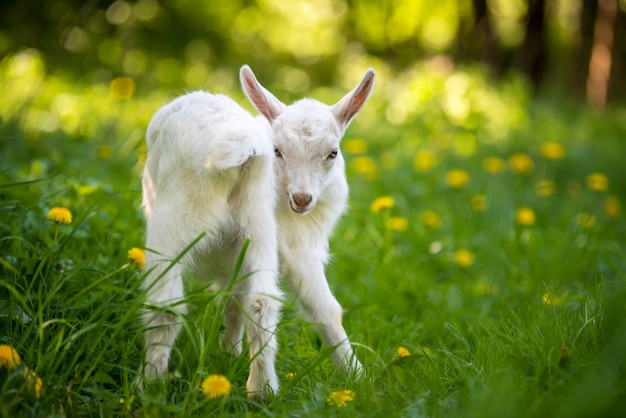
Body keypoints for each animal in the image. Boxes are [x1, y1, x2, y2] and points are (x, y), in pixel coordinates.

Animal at [140, 64, 376, 398]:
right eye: (278, 150)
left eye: (333, 152)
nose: (302, 199)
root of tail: (240, 140)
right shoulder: (288, 242)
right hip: (259, 219)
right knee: (262, 300)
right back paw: (262, 390)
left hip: (177, 217)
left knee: (165, 305)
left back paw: (148, 386)